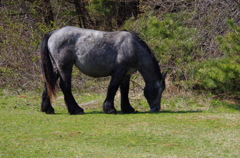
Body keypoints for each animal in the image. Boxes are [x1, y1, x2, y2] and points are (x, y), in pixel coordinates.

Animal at [39, 26, 167, 115]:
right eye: (160, 90)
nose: (156, 109)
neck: (132, 46)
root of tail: (53, 33)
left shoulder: (126, 73)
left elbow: (125, 90)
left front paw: (127, 108)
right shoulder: (119, 71)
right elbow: (113, 87)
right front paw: (110, 109)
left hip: (56, 67)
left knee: (48, 83)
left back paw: (48, 109)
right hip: (65, 67)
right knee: (65, 86)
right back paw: (76, 109)